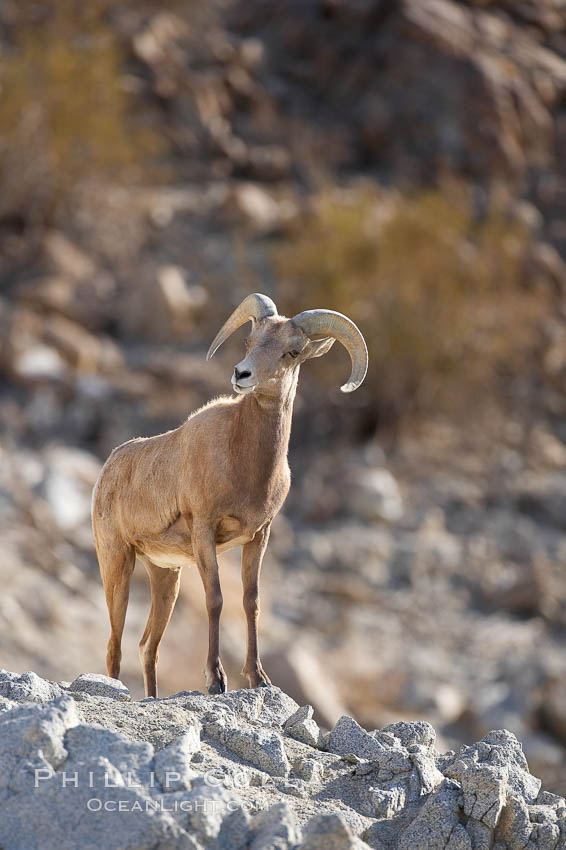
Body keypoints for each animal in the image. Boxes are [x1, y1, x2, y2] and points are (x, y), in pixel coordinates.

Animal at [91, 294, 370, 696]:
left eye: (292, 351)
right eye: (249, 341)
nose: (242, 375)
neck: (242, 458)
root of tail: (109, 467)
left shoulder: (257, 537)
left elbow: (250, 602)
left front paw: (258, 678)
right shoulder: (205, 531)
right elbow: (216, 600)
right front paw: (215, 680)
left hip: (165, 577)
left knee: (148, 647)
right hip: (116, 563)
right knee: (115, 646)